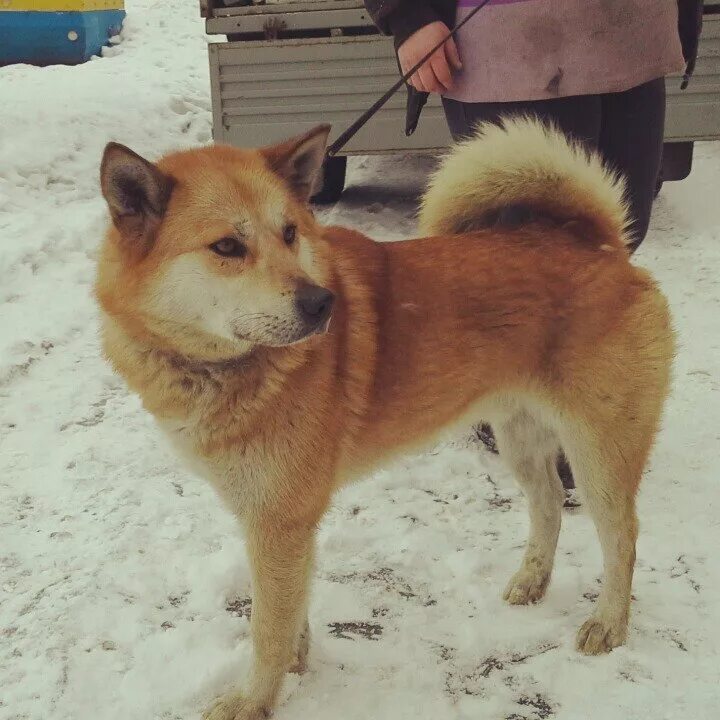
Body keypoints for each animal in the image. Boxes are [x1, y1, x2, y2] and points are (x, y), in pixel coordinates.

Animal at [95, 119, 676, 720]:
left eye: (289, 233)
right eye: (227, 247)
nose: (321, 304)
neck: (226, 368)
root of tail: (597, 243)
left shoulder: (279, 523)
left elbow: (268, 628)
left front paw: (255, 699)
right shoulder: (279, 523)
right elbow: (292, 612)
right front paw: (295, 666)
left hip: (598, 454)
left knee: (622, 535)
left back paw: (608, 623)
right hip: (519, 435)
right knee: (548, 503)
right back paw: (532, 581)